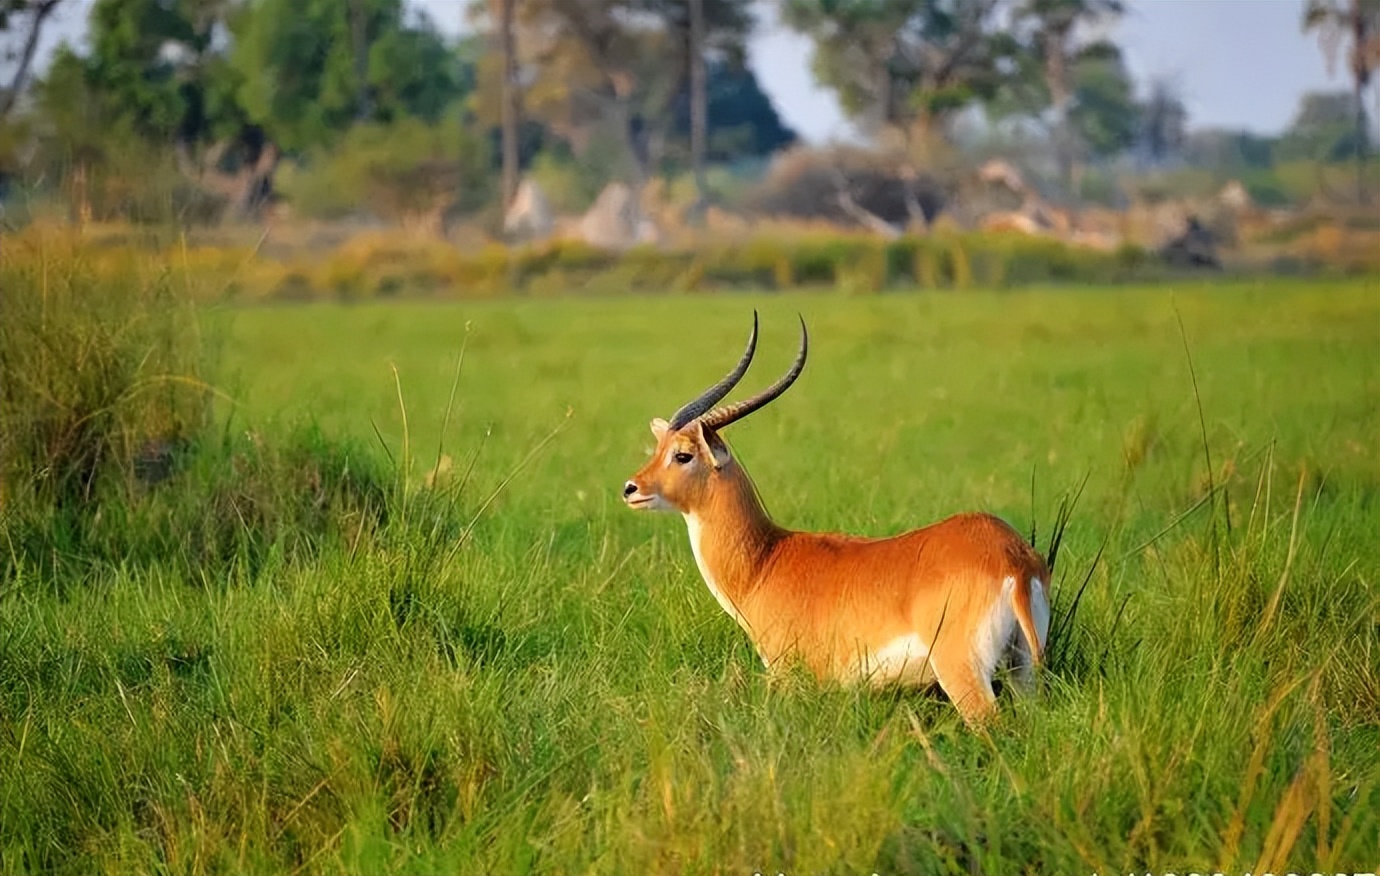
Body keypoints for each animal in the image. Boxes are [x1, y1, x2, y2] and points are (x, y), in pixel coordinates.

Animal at [621, 311, 1048, 722]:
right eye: (658, 448)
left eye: (683, 454)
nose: (631, 488)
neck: (764, 562)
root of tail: (1013, 559)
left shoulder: (791, 678)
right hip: (1024, 673)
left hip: (962, 672)